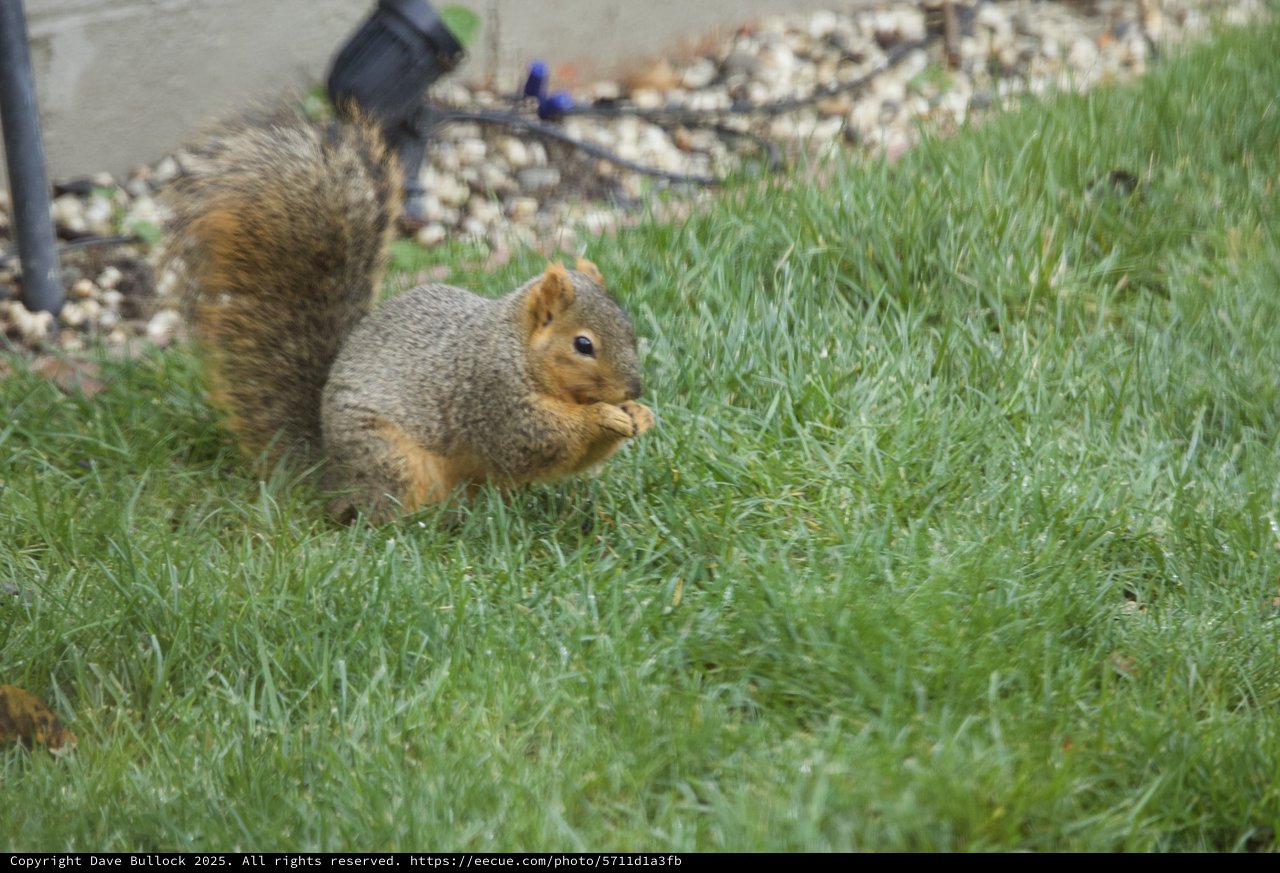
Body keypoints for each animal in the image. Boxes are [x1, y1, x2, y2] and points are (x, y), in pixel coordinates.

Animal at [164, 105, 654, 522]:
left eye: (629, 328)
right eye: (583, 344)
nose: (634, 387)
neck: (515, 347)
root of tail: (331, 478)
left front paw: (640, 414)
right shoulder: (491, 396)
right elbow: (533, 443)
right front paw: (603, 417)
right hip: (392, 458)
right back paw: (431, 523)